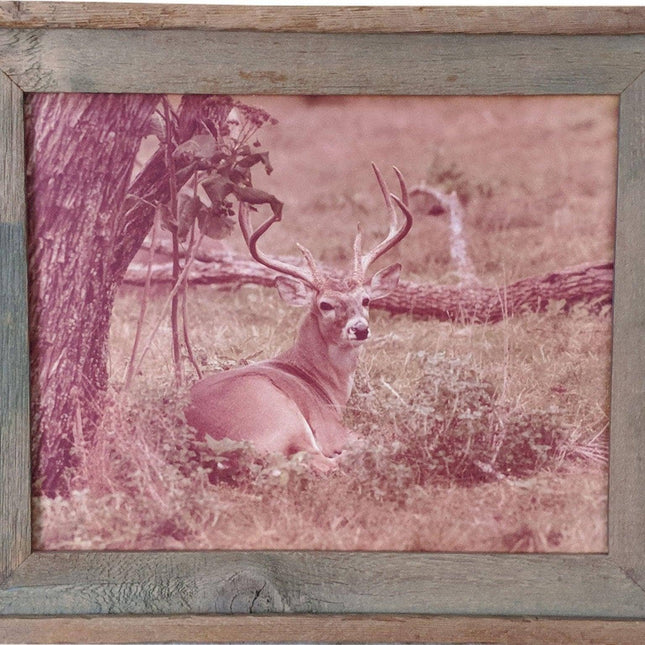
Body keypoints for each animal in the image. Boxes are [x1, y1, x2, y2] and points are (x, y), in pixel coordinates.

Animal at [184, 165, 410, 468]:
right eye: (325, 304)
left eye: (366, 300)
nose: (360, 328)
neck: (323, 385)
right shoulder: (329, 427)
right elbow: (376, 438)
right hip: (279, 414)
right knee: (320, 461)